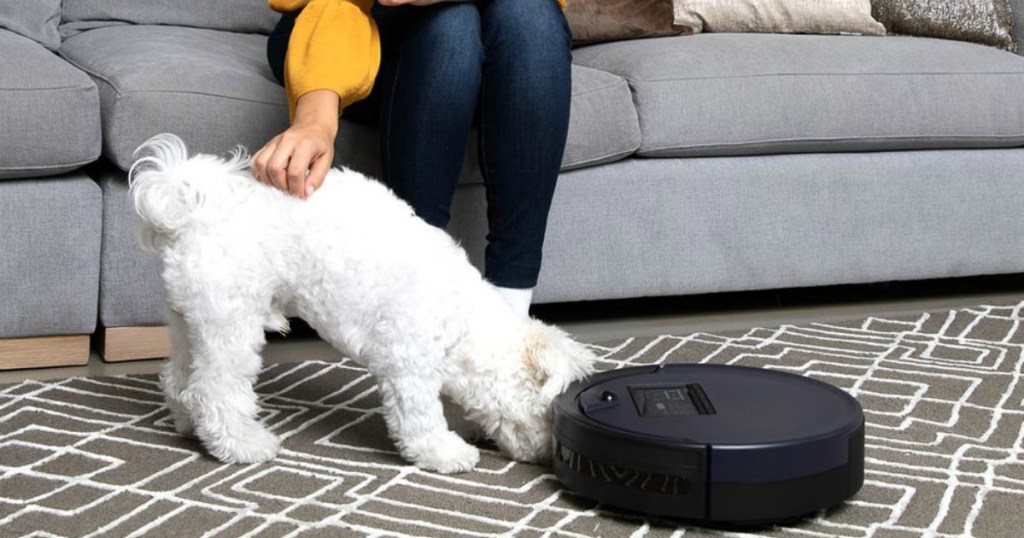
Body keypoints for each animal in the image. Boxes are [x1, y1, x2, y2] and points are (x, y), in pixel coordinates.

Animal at [130, 133, 593, 469]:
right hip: (230, 320)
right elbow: (420, 417)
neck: (464, 323)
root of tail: (192, 208)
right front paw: (446, 453)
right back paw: (242, 445)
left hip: (191, 319)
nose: (550, 457)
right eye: (551, 414)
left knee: (179, 378)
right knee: (215, 390)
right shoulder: (408, 363)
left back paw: (188, 425)